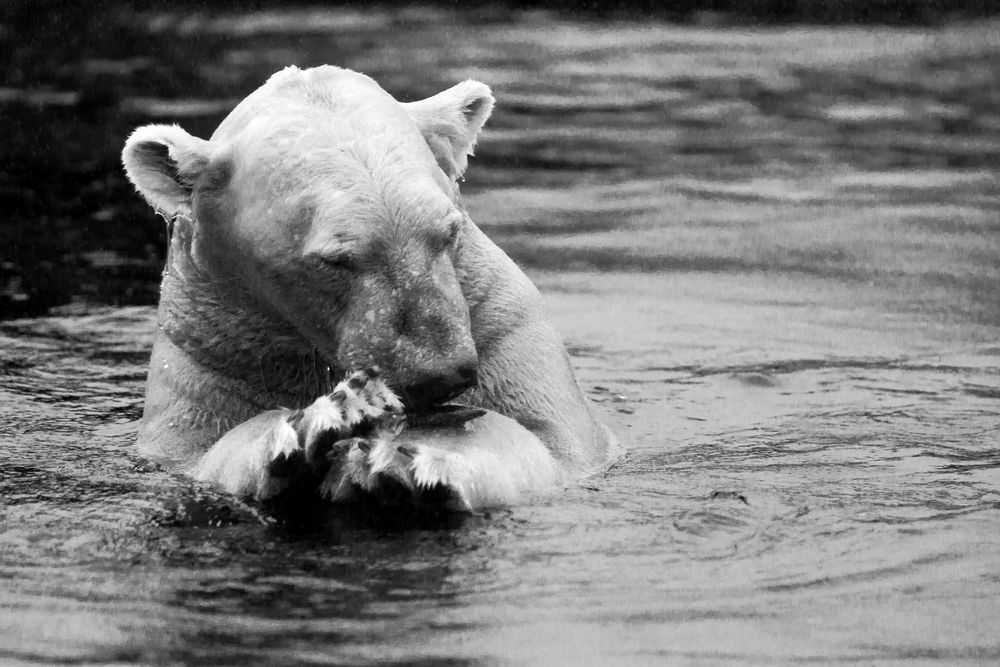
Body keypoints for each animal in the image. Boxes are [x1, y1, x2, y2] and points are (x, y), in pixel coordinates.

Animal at [122, 66, 612, 512]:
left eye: (448, 231)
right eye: (336, 259)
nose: (437, 376)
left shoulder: (500, 324)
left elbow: (542, 439)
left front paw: (401, 464)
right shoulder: (211, 349)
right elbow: (205, 448)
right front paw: (319, 422)